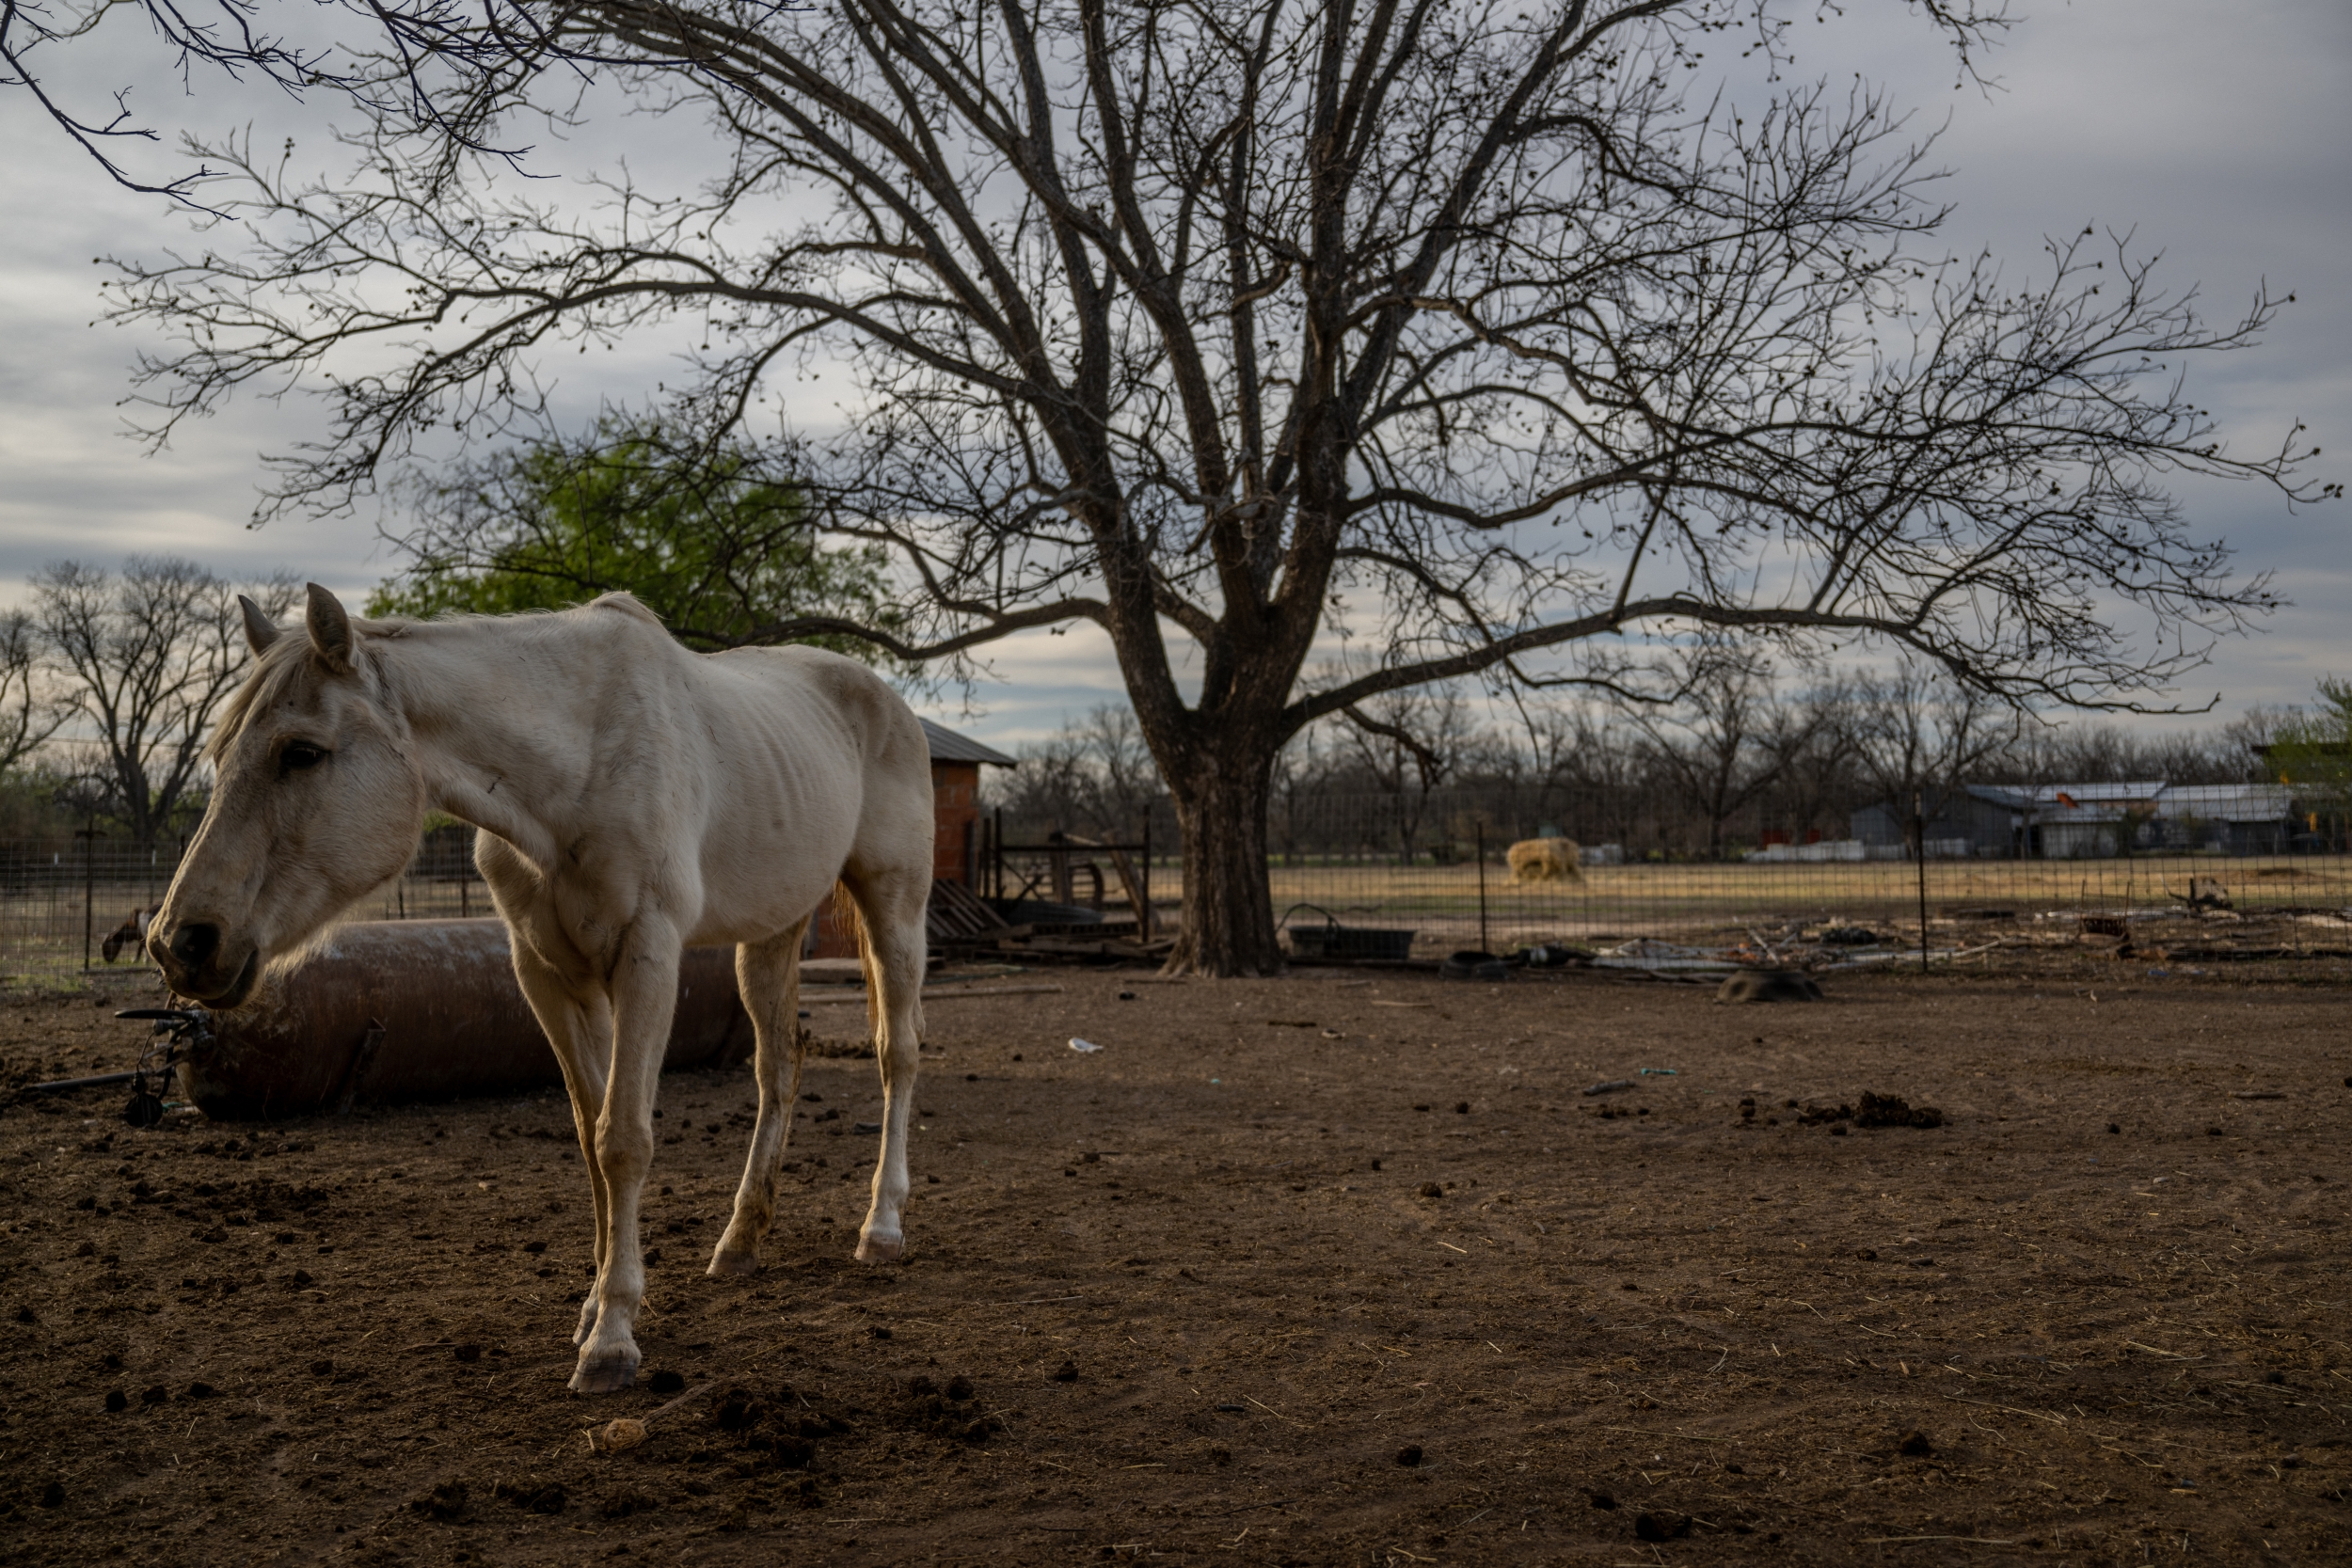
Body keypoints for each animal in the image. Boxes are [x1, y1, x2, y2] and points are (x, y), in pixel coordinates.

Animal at [147, 585, 934, 1394]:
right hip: (772, 934)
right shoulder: (549, 975)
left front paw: (613, 1337)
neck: (579, 765)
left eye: (301, 751)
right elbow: (591, 1138)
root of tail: (883, 699)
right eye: (219, 753)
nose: (182, 942)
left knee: (896, 1054)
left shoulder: (648, 957)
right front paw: (593, 1309)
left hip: (895, 907)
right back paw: (741, 1239)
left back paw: (881, 1225)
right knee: (778, 1068)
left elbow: (624, 1139)